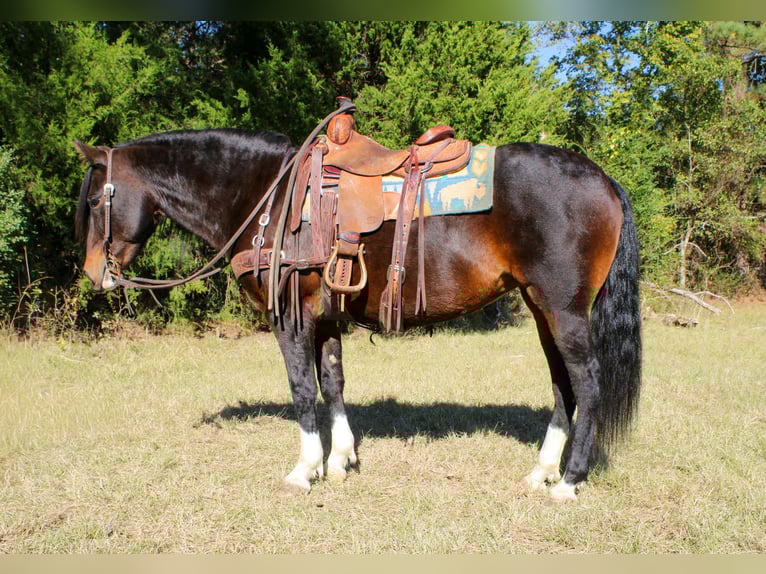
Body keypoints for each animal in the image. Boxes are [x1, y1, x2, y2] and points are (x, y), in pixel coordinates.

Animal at [73, 115, 641, 503]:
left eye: (97, 201)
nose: (94, 272)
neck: (270, 197)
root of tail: (603, 180)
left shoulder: (291, 319)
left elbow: (303, 389)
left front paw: (305, 469)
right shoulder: (325, 317)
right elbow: (333, 383)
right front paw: (341, 459)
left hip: (565, 311)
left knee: (588, 384)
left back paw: (569, 482)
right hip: (543, 309)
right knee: (562, 386)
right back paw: (543, 470)